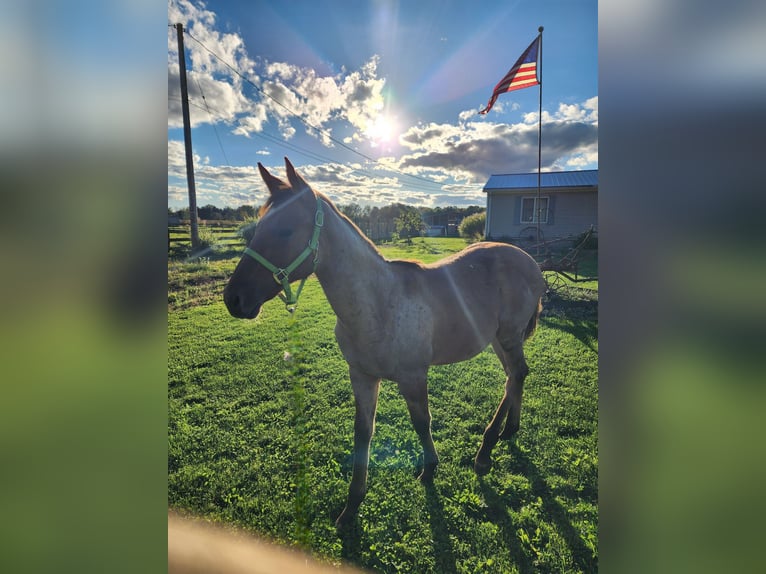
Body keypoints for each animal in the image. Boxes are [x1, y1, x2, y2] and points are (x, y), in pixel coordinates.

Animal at [224, 158, 546, 527]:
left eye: (285, 230)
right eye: (258, 226)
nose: (233, 298)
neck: (378, 304)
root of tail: (530, 262)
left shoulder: (413, 376)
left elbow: (422, 422)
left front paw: (429, 468)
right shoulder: (362, 376)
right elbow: (363, 432)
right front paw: (351, 505)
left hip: (508, 336)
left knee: (516, 374)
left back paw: (485, 451)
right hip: (498, 339)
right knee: (514, 377)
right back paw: (506, 432)